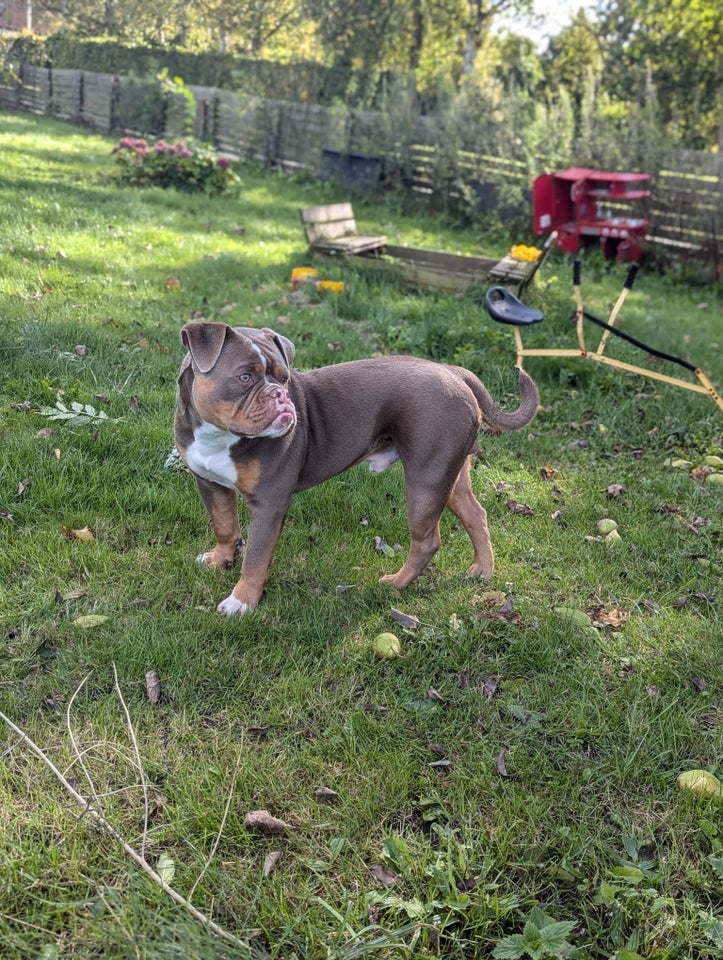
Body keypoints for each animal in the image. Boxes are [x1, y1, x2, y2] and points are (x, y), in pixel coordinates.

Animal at [174, 324, 536, 616]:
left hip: (426, 480)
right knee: (475, 514)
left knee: (427, 540)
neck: (219, 435)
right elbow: (224, 525)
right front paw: (219, 560)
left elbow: (255, 559)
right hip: (453, 474)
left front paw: (242, 602)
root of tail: (453, 371)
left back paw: (396, 582)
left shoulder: (268, 504)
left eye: (284, 378)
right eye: (245, 377)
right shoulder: (210, 484)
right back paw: (483, 570)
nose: (281, 395)